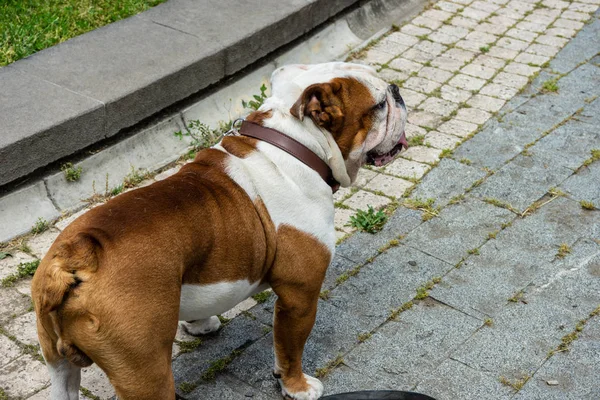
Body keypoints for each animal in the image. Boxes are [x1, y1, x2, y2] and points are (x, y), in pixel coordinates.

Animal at [31, 61, 408, 398]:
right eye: (378, 105)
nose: (397, 90)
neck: (295, 144)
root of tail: (77, 255)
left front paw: (199, 324)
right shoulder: (300, 296)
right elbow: (290, 349)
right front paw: (296, 387)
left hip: (56, 360)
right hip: (145, 372)